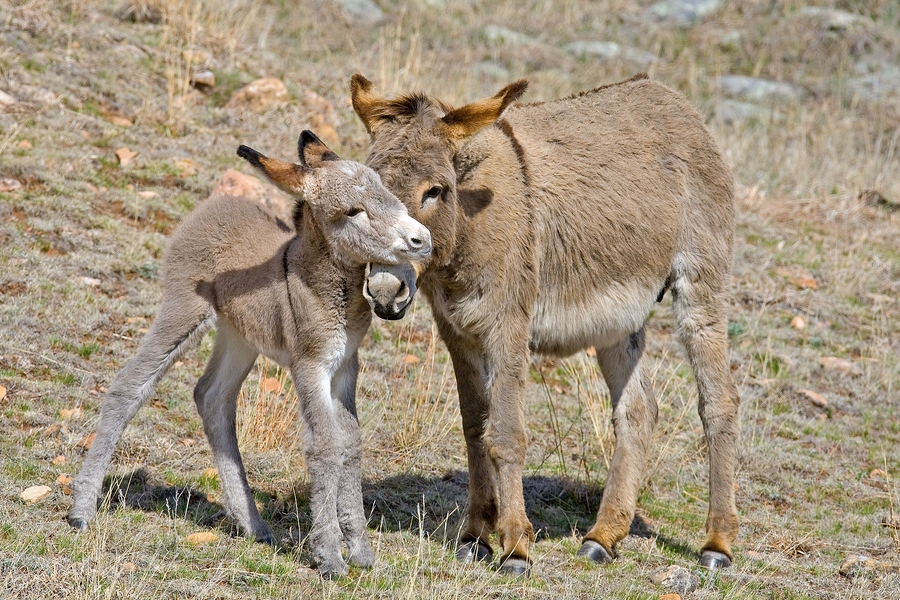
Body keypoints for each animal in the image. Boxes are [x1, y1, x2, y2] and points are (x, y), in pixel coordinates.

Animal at [67, 130, 432, 576]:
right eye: (352, 211)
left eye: (387, 192)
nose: (422, 240)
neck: (319, 283)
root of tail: (217, 204)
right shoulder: (310, 366)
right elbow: (325, 446)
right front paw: (329, 556)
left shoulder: (345, 366)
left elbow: (351, 444)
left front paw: (360, 551)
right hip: (183, 311)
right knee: (129, 387)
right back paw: (82, 511)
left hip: (239, 337)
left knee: (212, 397)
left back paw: (252, 523)